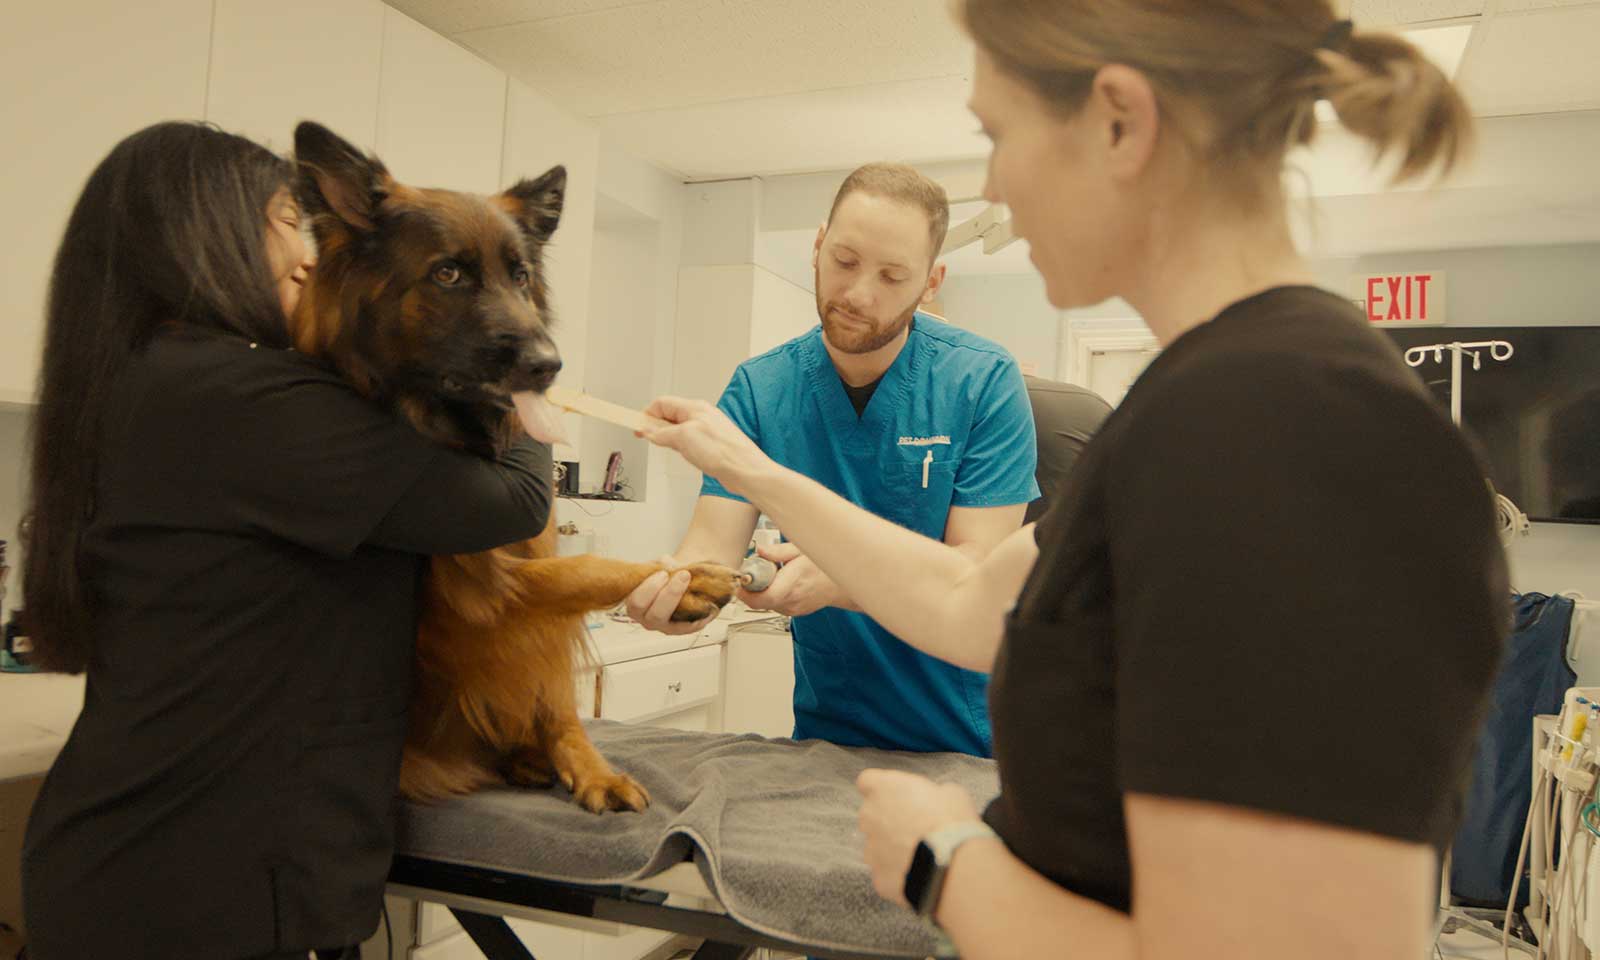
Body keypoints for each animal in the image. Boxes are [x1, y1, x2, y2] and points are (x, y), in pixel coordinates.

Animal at [288, 118, 736, 809]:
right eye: (448, 273)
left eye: (522, 276)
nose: (551, 366)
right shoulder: (475, 588)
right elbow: (587, 569)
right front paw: (686, 579)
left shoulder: (526, 567)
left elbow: (558, 692)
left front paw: (589, 768)